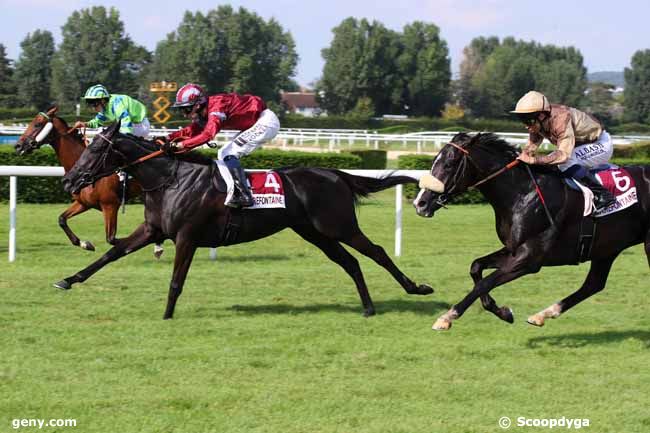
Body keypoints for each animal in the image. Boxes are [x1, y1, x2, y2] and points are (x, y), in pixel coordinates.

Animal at [14, 106, 163, 256]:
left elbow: (112, 239)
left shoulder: (110, 205)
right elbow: (61, 219)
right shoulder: (83, 203)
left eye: (37, 124)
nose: (18, 146)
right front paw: (85, 244)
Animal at [55, 121, 430, 318]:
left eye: (96, 150)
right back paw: (367, 307)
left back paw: (416, 287)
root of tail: (335, 174)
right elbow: (112, 253)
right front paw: (68, 280)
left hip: (338, 226)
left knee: (377, 252)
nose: (69, 182)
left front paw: (167, 314)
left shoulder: (187, 236)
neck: (170, 179)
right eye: (86, 145)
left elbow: (176, 280)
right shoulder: (152, 229)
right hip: (315, 233)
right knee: (350, 262)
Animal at [412, 133, 644, 330]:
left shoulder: (530, 259)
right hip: (607, 248)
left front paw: (447, 317)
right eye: (434, 161)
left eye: (449, 164)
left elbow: (486, 282)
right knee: (594, 284)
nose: (420, 203)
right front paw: (503, 312)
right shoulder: (513, 249)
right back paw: (543, 314)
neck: (523, 193)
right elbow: (476, 267)